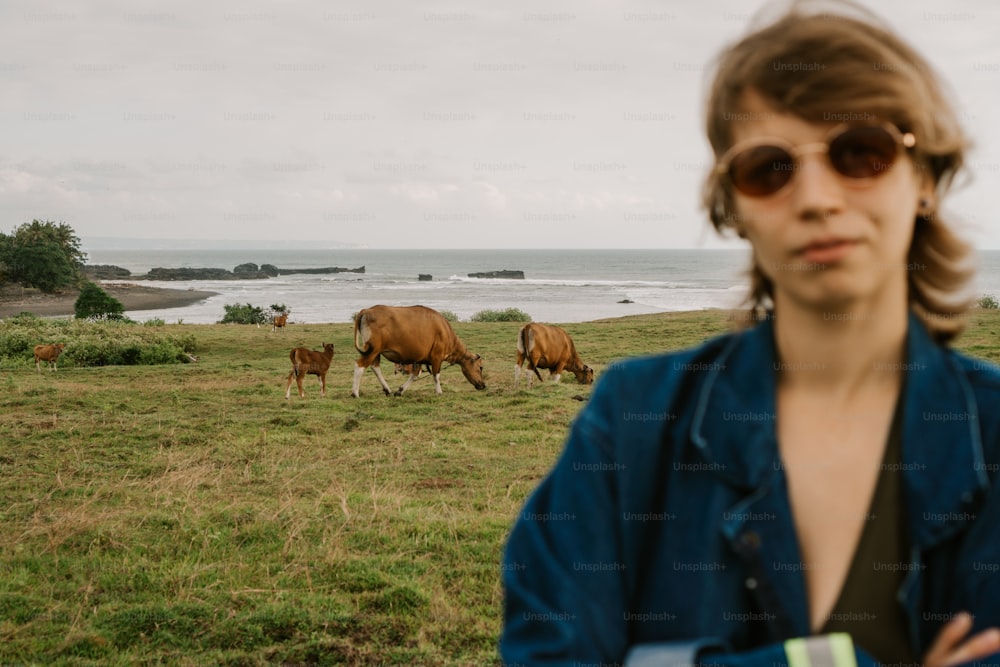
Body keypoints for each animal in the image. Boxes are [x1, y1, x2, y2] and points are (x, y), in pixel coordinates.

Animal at [354, 306, 486, 400]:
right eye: (480, 367)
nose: (483, 385)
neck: (445, 331)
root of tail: (367, 310)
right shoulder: (437, 357)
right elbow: (436, 375)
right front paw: (439, 392)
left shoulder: (418, 359)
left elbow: (415, 374)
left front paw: (400, 391)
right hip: (373, 349)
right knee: (360, 365)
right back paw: (355, 393)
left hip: (376, 352)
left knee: (375, 367)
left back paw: (387, 390)